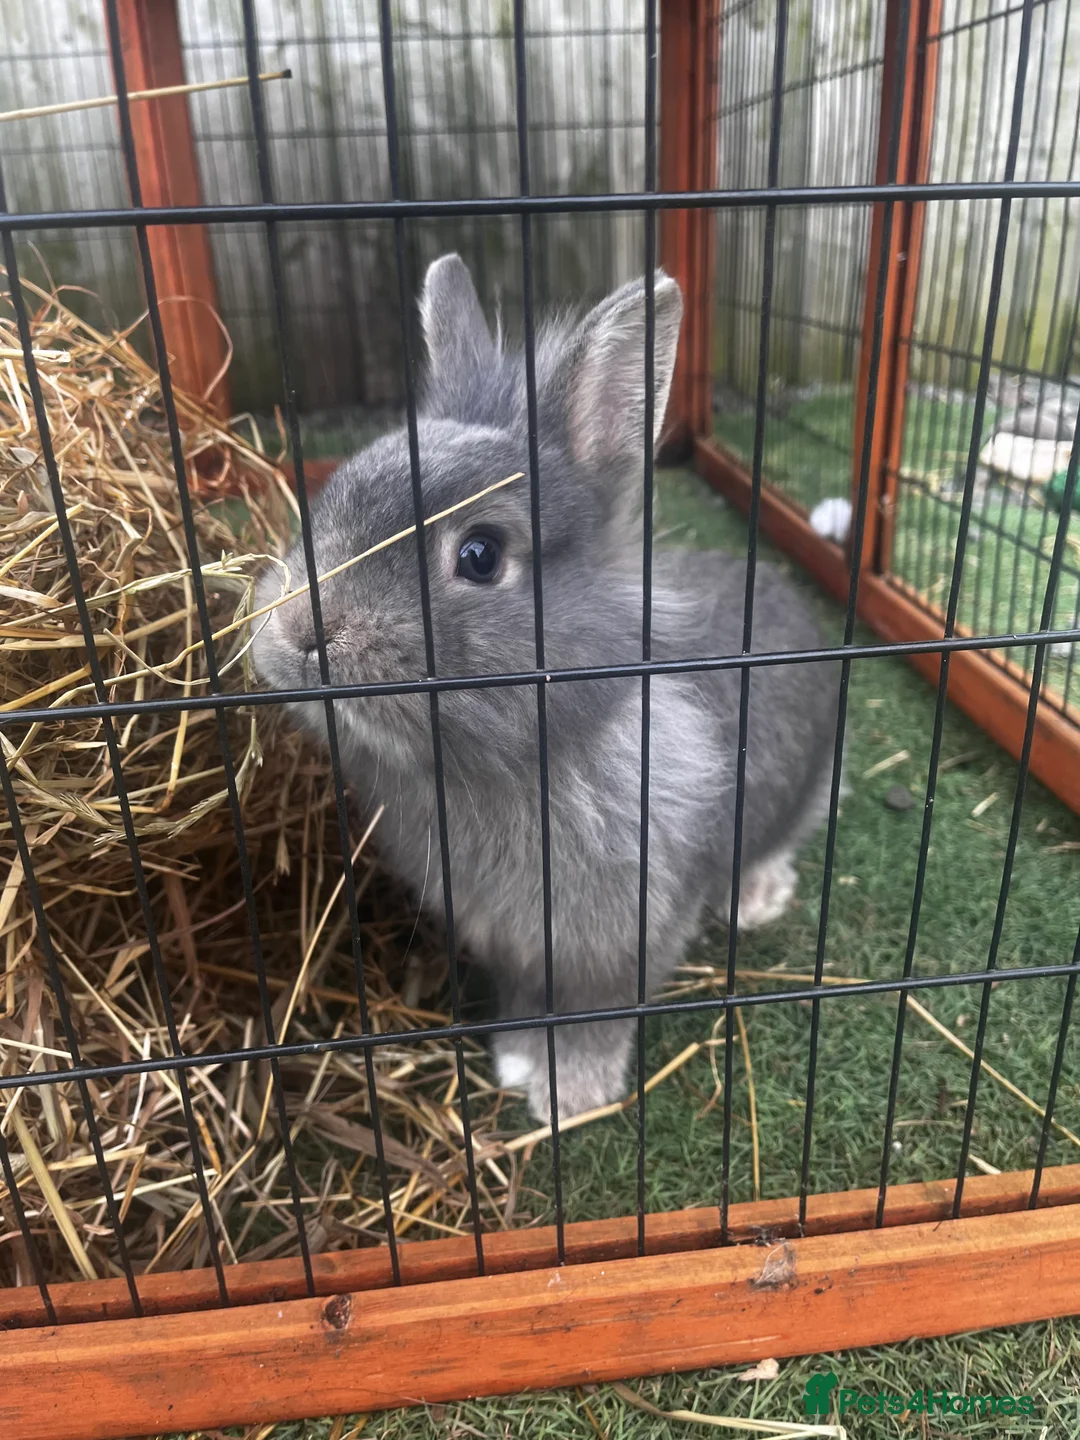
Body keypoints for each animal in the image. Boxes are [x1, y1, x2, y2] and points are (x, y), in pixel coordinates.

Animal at [253, 254, 842, 1125]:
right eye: (328, 499)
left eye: (480, 555)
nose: (298, 631)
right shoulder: (511, 943)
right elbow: (530, 1000)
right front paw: (517, 1060)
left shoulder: (624, 935)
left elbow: (599, 1012)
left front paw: (573, 1095)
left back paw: (756, 896)